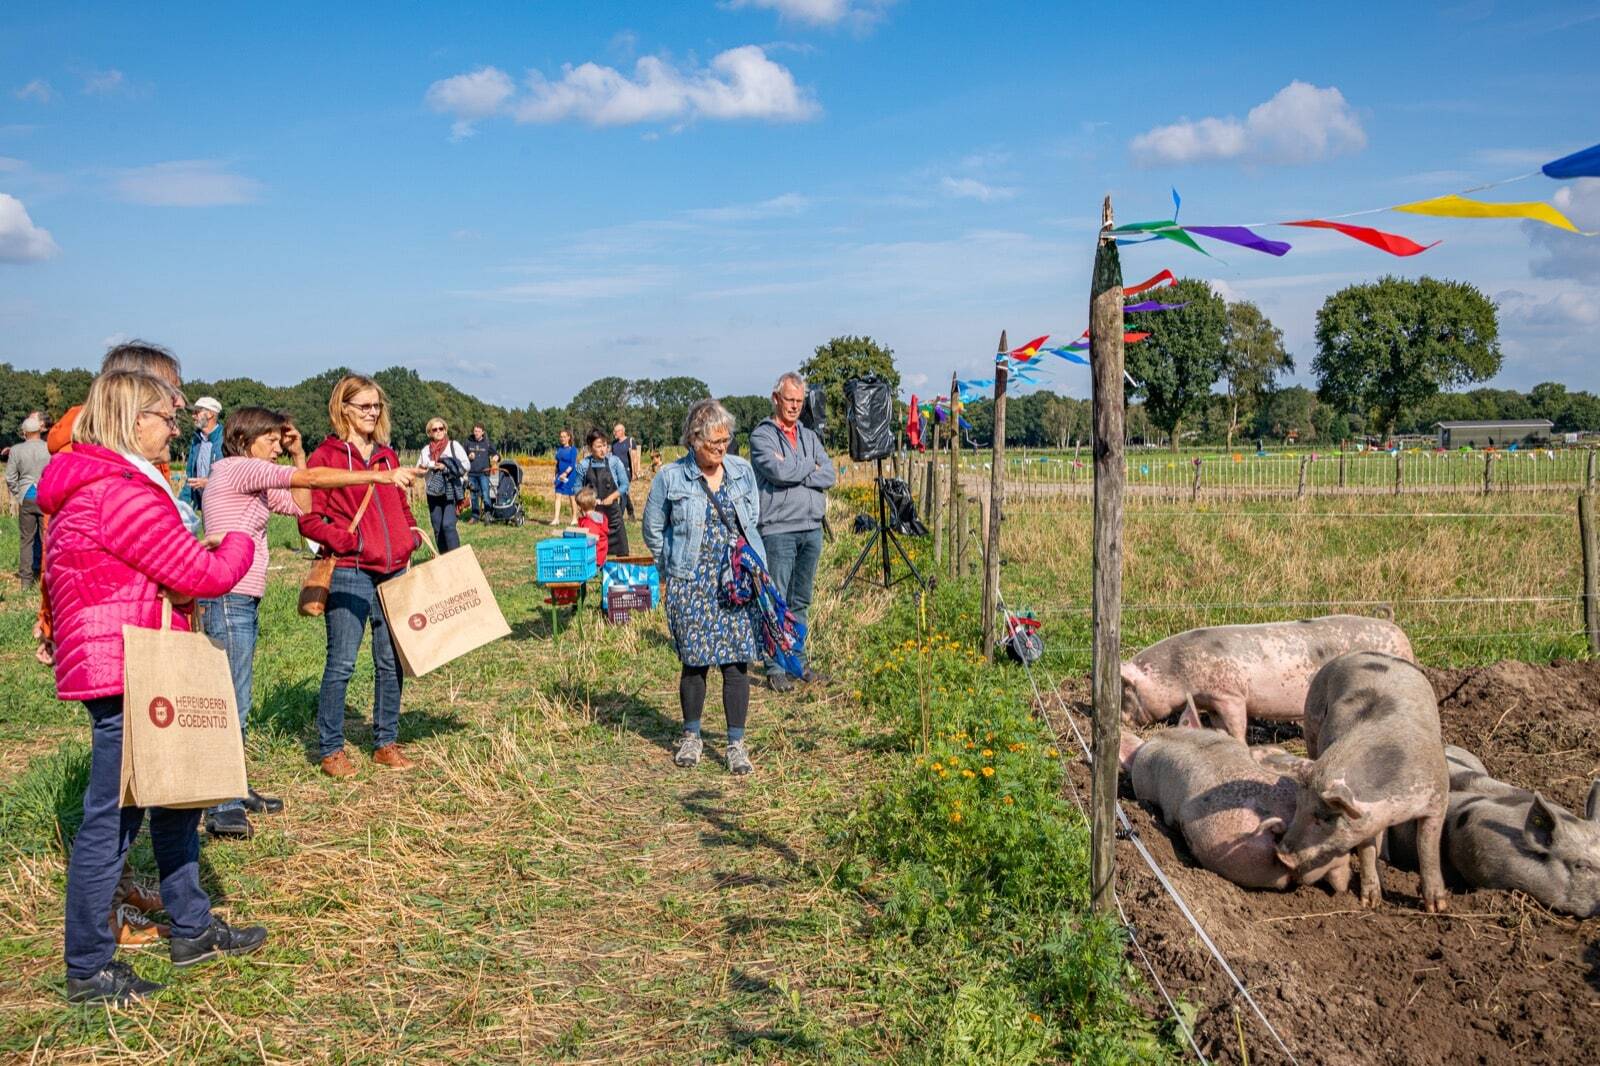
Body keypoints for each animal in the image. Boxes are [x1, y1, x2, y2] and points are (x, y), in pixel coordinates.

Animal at [1113, 614, 1414, 739]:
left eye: (1126, 691)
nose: (1121, 722)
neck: (1179, 671)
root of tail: (1399, 632)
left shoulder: (1230, 695)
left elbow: (1237, 726)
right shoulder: (1212, 701)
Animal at [1260, 653, 1452, 909]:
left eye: (1326, 817)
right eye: (1299, 807)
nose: (1281, 854)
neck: (1394, 808)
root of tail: (1366, 654)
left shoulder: (1438, 798)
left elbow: (1427, 848)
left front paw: (1437, 907)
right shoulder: (1365, 821)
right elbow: (1366, 850)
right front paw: (1370, 903)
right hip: (1310, 722)